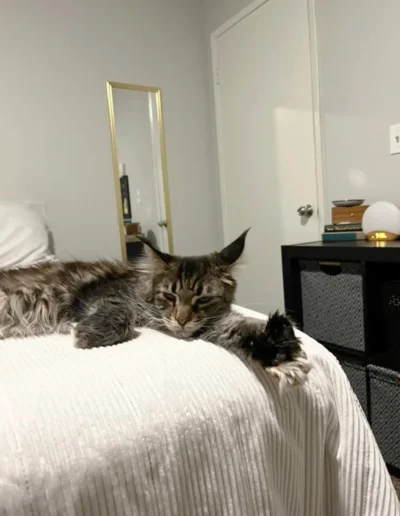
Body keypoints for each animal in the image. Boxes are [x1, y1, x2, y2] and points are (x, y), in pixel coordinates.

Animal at [0, 232, 310, 384]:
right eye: (169, 296)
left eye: (202, 300)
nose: (182, 320)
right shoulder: (101, 295)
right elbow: (119, 314)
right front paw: (88, 335)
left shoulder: (212, 325)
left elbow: (242, 327)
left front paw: (282, 352)